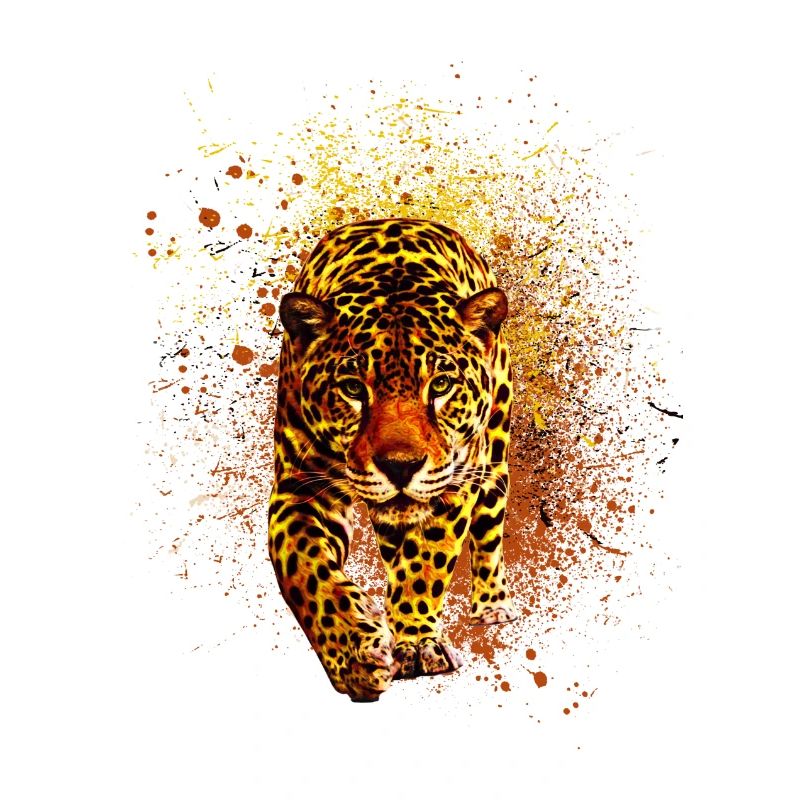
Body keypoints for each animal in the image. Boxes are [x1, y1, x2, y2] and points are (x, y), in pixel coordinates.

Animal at [268, 218, 516, 702]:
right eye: (352, 388)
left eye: (441, 385)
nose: (401, 466)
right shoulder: (299, 487)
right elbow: (305, 572)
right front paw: (354, 655)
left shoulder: (452, 484)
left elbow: (426, 563)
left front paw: (417, 643)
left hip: (493, 461)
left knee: (488, 535)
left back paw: (491, 605)